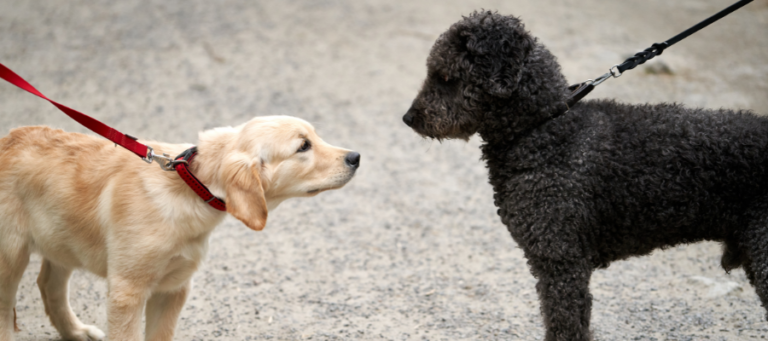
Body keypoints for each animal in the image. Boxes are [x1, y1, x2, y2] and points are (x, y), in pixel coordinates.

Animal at [0, 115, 360, 340]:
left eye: (314, 137)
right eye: (303, 147)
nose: (356, 157)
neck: (190, 185)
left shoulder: (173, 288)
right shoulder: (127, 291)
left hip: (61, 238)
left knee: (49, 285)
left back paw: (76, 332)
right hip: (10, 256)